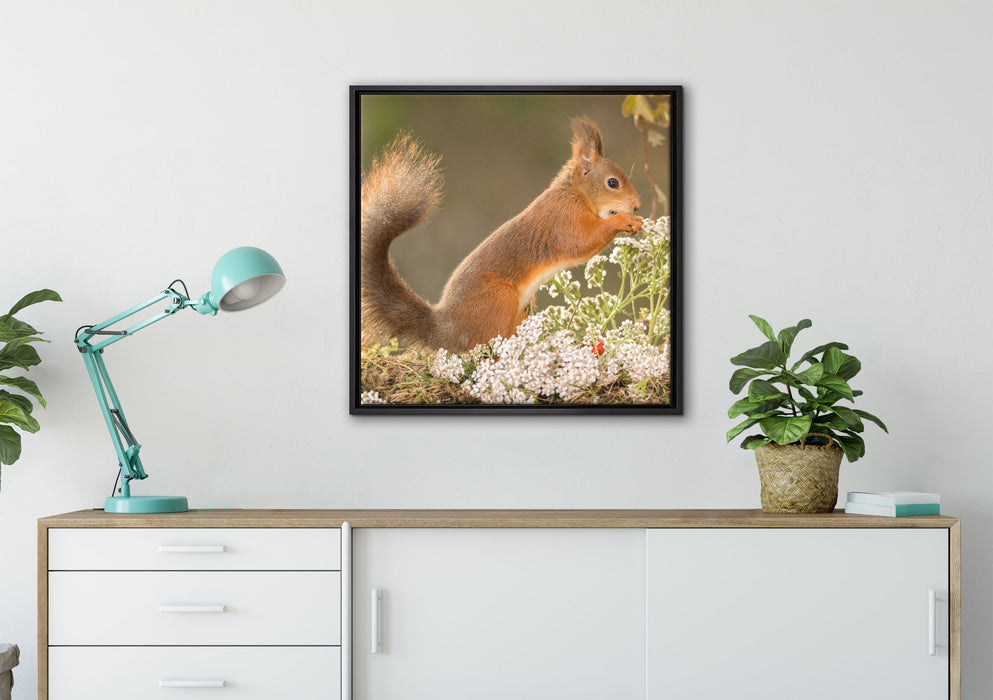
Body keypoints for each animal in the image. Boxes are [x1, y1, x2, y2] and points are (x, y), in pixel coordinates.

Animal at [360, 116, 643, 354]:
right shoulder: (563, 219)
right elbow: (580, 243)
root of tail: (446, 329)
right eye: (613, 183)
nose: (638, 206)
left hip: (523, 307)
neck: (575, 193)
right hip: (498, 301)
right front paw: (623, 221)